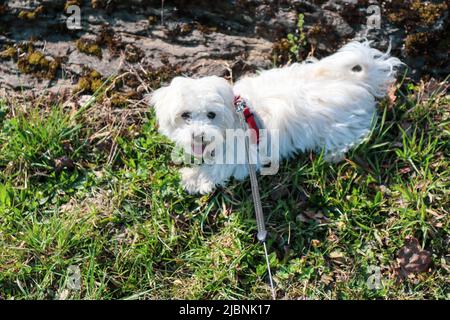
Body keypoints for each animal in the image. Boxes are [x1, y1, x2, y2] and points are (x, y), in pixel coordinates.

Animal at [150, 41, 400, 194]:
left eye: (211, 115)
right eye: (185, 115)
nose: (198, 135)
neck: (237, 116)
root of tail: (356, 81)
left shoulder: (241, 156)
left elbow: (217, 168)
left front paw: (192, 178)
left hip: (342, 127)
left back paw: (333, 154)